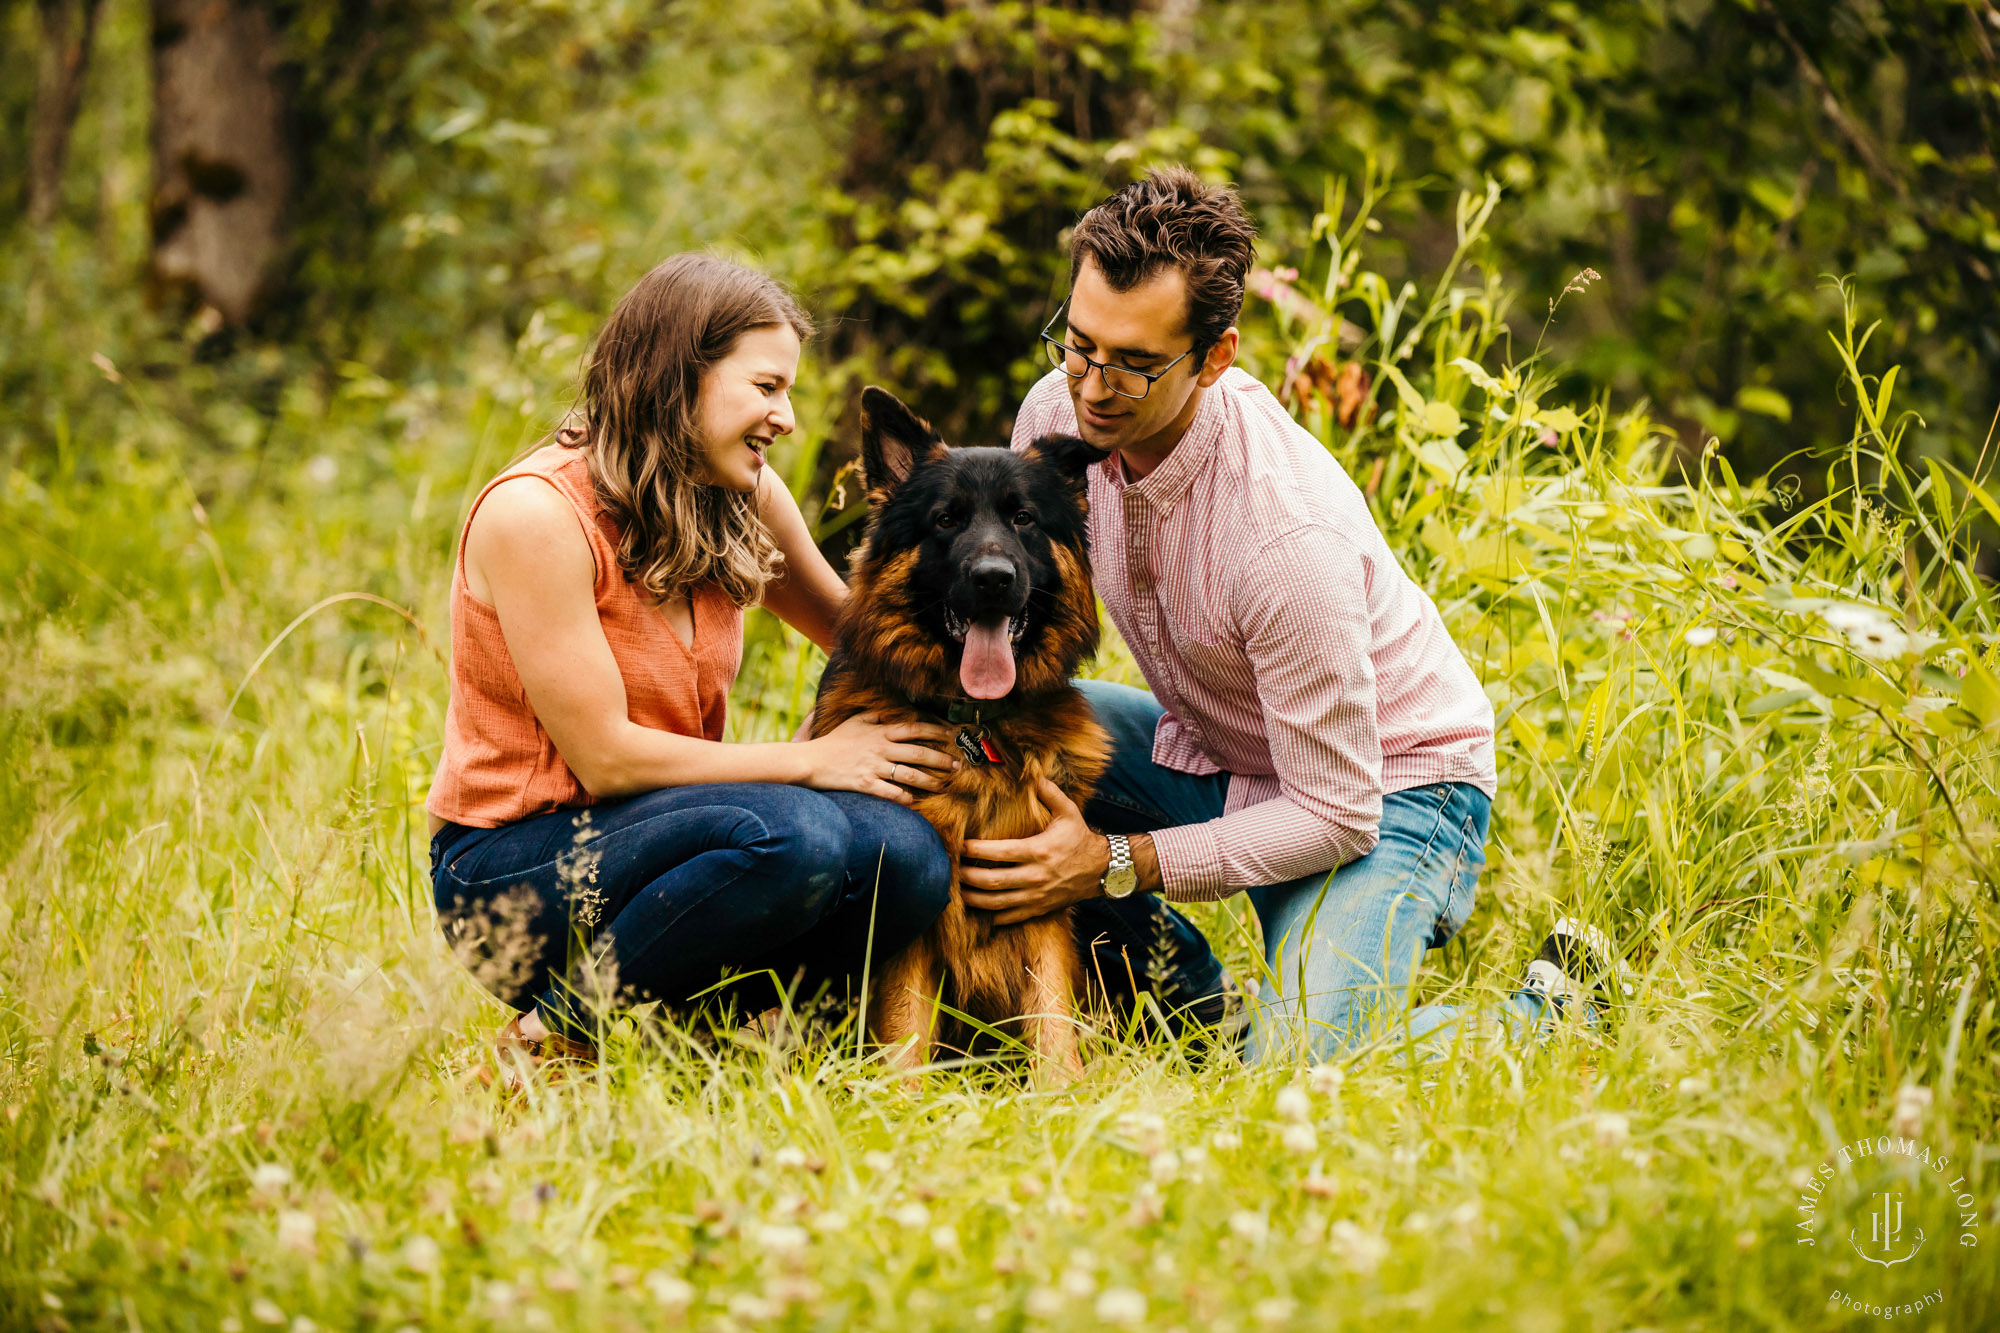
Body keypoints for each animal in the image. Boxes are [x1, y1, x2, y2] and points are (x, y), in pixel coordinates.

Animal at [812, 382, 1112, 1080]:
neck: (974, 725)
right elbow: (904, 1027)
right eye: (947, 520)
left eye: (1023, 519)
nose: (994, 579)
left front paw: (1065, 1091)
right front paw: (898, 1096)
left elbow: (1053, 1015)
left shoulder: (1042, 895)